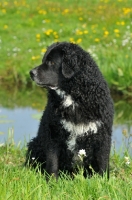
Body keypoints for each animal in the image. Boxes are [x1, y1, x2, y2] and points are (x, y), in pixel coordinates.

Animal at [25, 41, 114, 178]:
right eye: (43, 60)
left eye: (51, 62)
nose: (31, 73)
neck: (74, 98)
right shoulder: (53, 134)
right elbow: (52, 163)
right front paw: (52, 181)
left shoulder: (103, 136)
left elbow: (103, 163)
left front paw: (104, 180)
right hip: (35, 144)